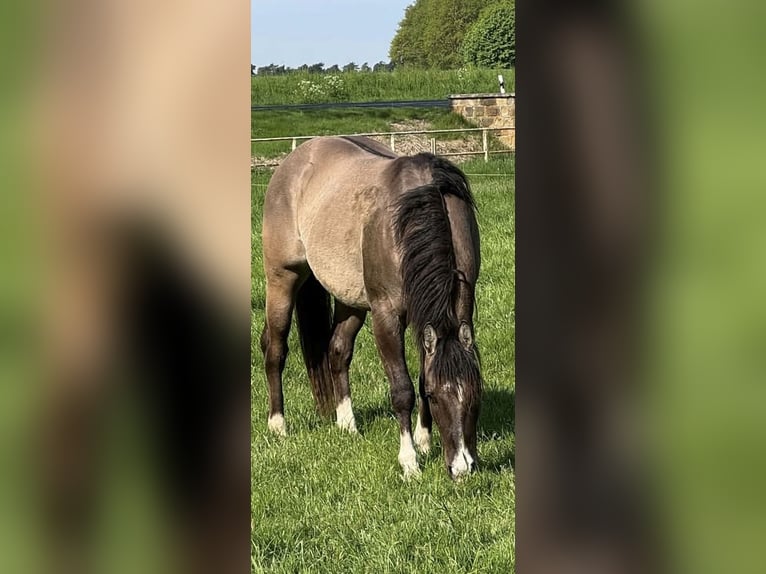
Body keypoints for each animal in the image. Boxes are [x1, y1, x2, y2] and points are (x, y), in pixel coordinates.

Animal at [259, 135, 482, 479]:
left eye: (475, 395)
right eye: (436, 397)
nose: (462, 467)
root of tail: (294, 160)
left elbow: (421, 375)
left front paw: (424, 441)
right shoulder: (386, 316)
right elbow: (403, 389)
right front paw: (409, 462)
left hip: (349, 300)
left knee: (337, 351)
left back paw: (346, 424)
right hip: (282, 280)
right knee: (275, 350)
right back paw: (278, 425)